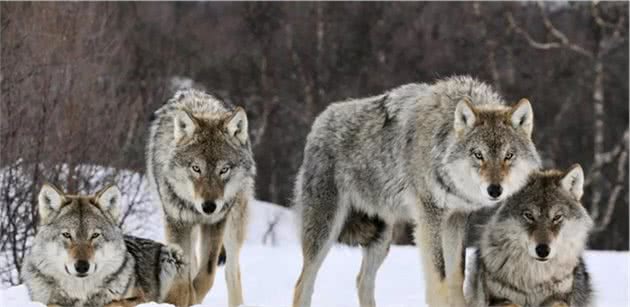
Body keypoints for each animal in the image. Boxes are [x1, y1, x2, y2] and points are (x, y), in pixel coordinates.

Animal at [22, 184, 184, 306]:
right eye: (67, 235)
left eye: (95, 235)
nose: (82, 266)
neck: (81, 292)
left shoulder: (141, 298)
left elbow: (112, 303)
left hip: (172, 254)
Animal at [147, 88, 256, 306]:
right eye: (196, 168)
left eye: (224, 170)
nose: (209, 207)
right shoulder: (177, 223)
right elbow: (184, 277)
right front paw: (184, 296)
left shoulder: (215, 223)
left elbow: (207, 274)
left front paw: (194, 295)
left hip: (233, 225)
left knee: (232, 272)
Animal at [294, 75, 540, 307]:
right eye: (478, 155)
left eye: (508, 156)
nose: (495, 190)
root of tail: (319, 121)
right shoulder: (429, 216)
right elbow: (439, 278)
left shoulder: (457, 217)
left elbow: (456, 276)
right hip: (325, 231)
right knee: (302, 285)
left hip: (381, 238)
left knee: (362, 281)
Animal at [466, 165, 596, 306]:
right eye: (529, 216)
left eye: (557, 217)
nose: (543, 250)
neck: (535, 279)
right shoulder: (498, 299)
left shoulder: (561, 296)